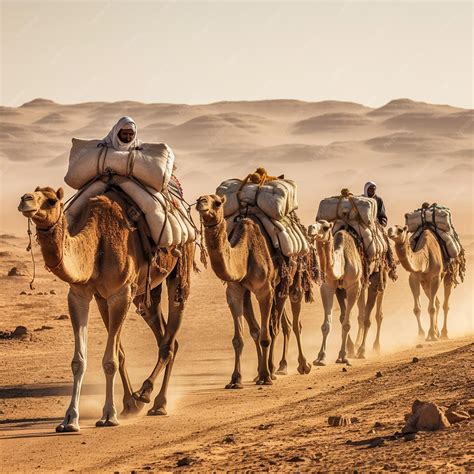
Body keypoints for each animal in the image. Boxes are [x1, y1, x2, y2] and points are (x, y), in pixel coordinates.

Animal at [17, 187, 193, 432]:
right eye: (33, 193)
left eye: (51, 200)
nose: (25, 200)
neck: (96, 243)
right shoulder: (82, 294)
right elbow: (84, 360)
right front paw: (70, 419)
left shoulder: (120, 292)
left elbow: (110, 360)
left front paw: (109, 415)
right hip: (142, 293)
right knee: (164, 335)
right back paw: (141, 400)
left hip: (180, 266)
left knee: (170, 335)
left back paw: (153, 399)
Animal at [196, 194, 312, 386]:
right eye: (200, 199)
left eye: (217, 203)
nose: (201, 203)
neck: (245, 253)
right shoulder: (235, 292)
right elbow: (245, 336)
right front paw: (237, 379)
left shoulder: (263, 290)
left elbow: (266, 335)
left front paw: (265, 376)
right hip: (278, 288)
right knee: (282, 323)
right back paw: (279, 367)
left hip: (293, 278)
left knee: (291, 323)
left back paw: (301, 366)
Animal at [308, 221, 388, 362]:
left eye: (325, 227)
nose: (310, 229)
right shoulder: (330, 288)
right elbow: (331, 323)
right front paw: (321, 356)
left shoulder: (353, 287)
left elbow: (347, 324)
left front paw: (343, 355)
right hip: (362, 285)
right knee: (362, 314)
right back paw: (356, 346)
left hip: (378, 275)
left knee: (374, 314)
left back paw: (368, 349)